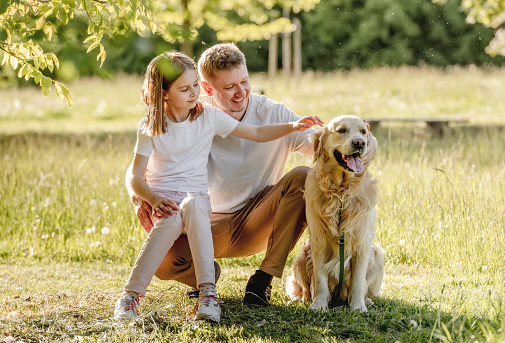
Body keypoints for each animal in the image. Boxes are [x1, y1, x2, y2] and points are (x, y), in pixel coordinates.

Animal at [286, 115, 384, 312]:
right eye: (341, 130)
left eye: (363, 131)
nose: (360, 143)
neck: (340, 193)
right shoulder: (318, 240)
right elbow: (320, 280)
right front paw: (318, 305)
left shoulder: (362, 242)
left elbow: (358, 282)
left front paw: (358, 306)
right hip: (301, 258)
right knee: (303, 289)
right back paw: (300, 299)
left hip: (377, 254)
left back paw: (366, 300)